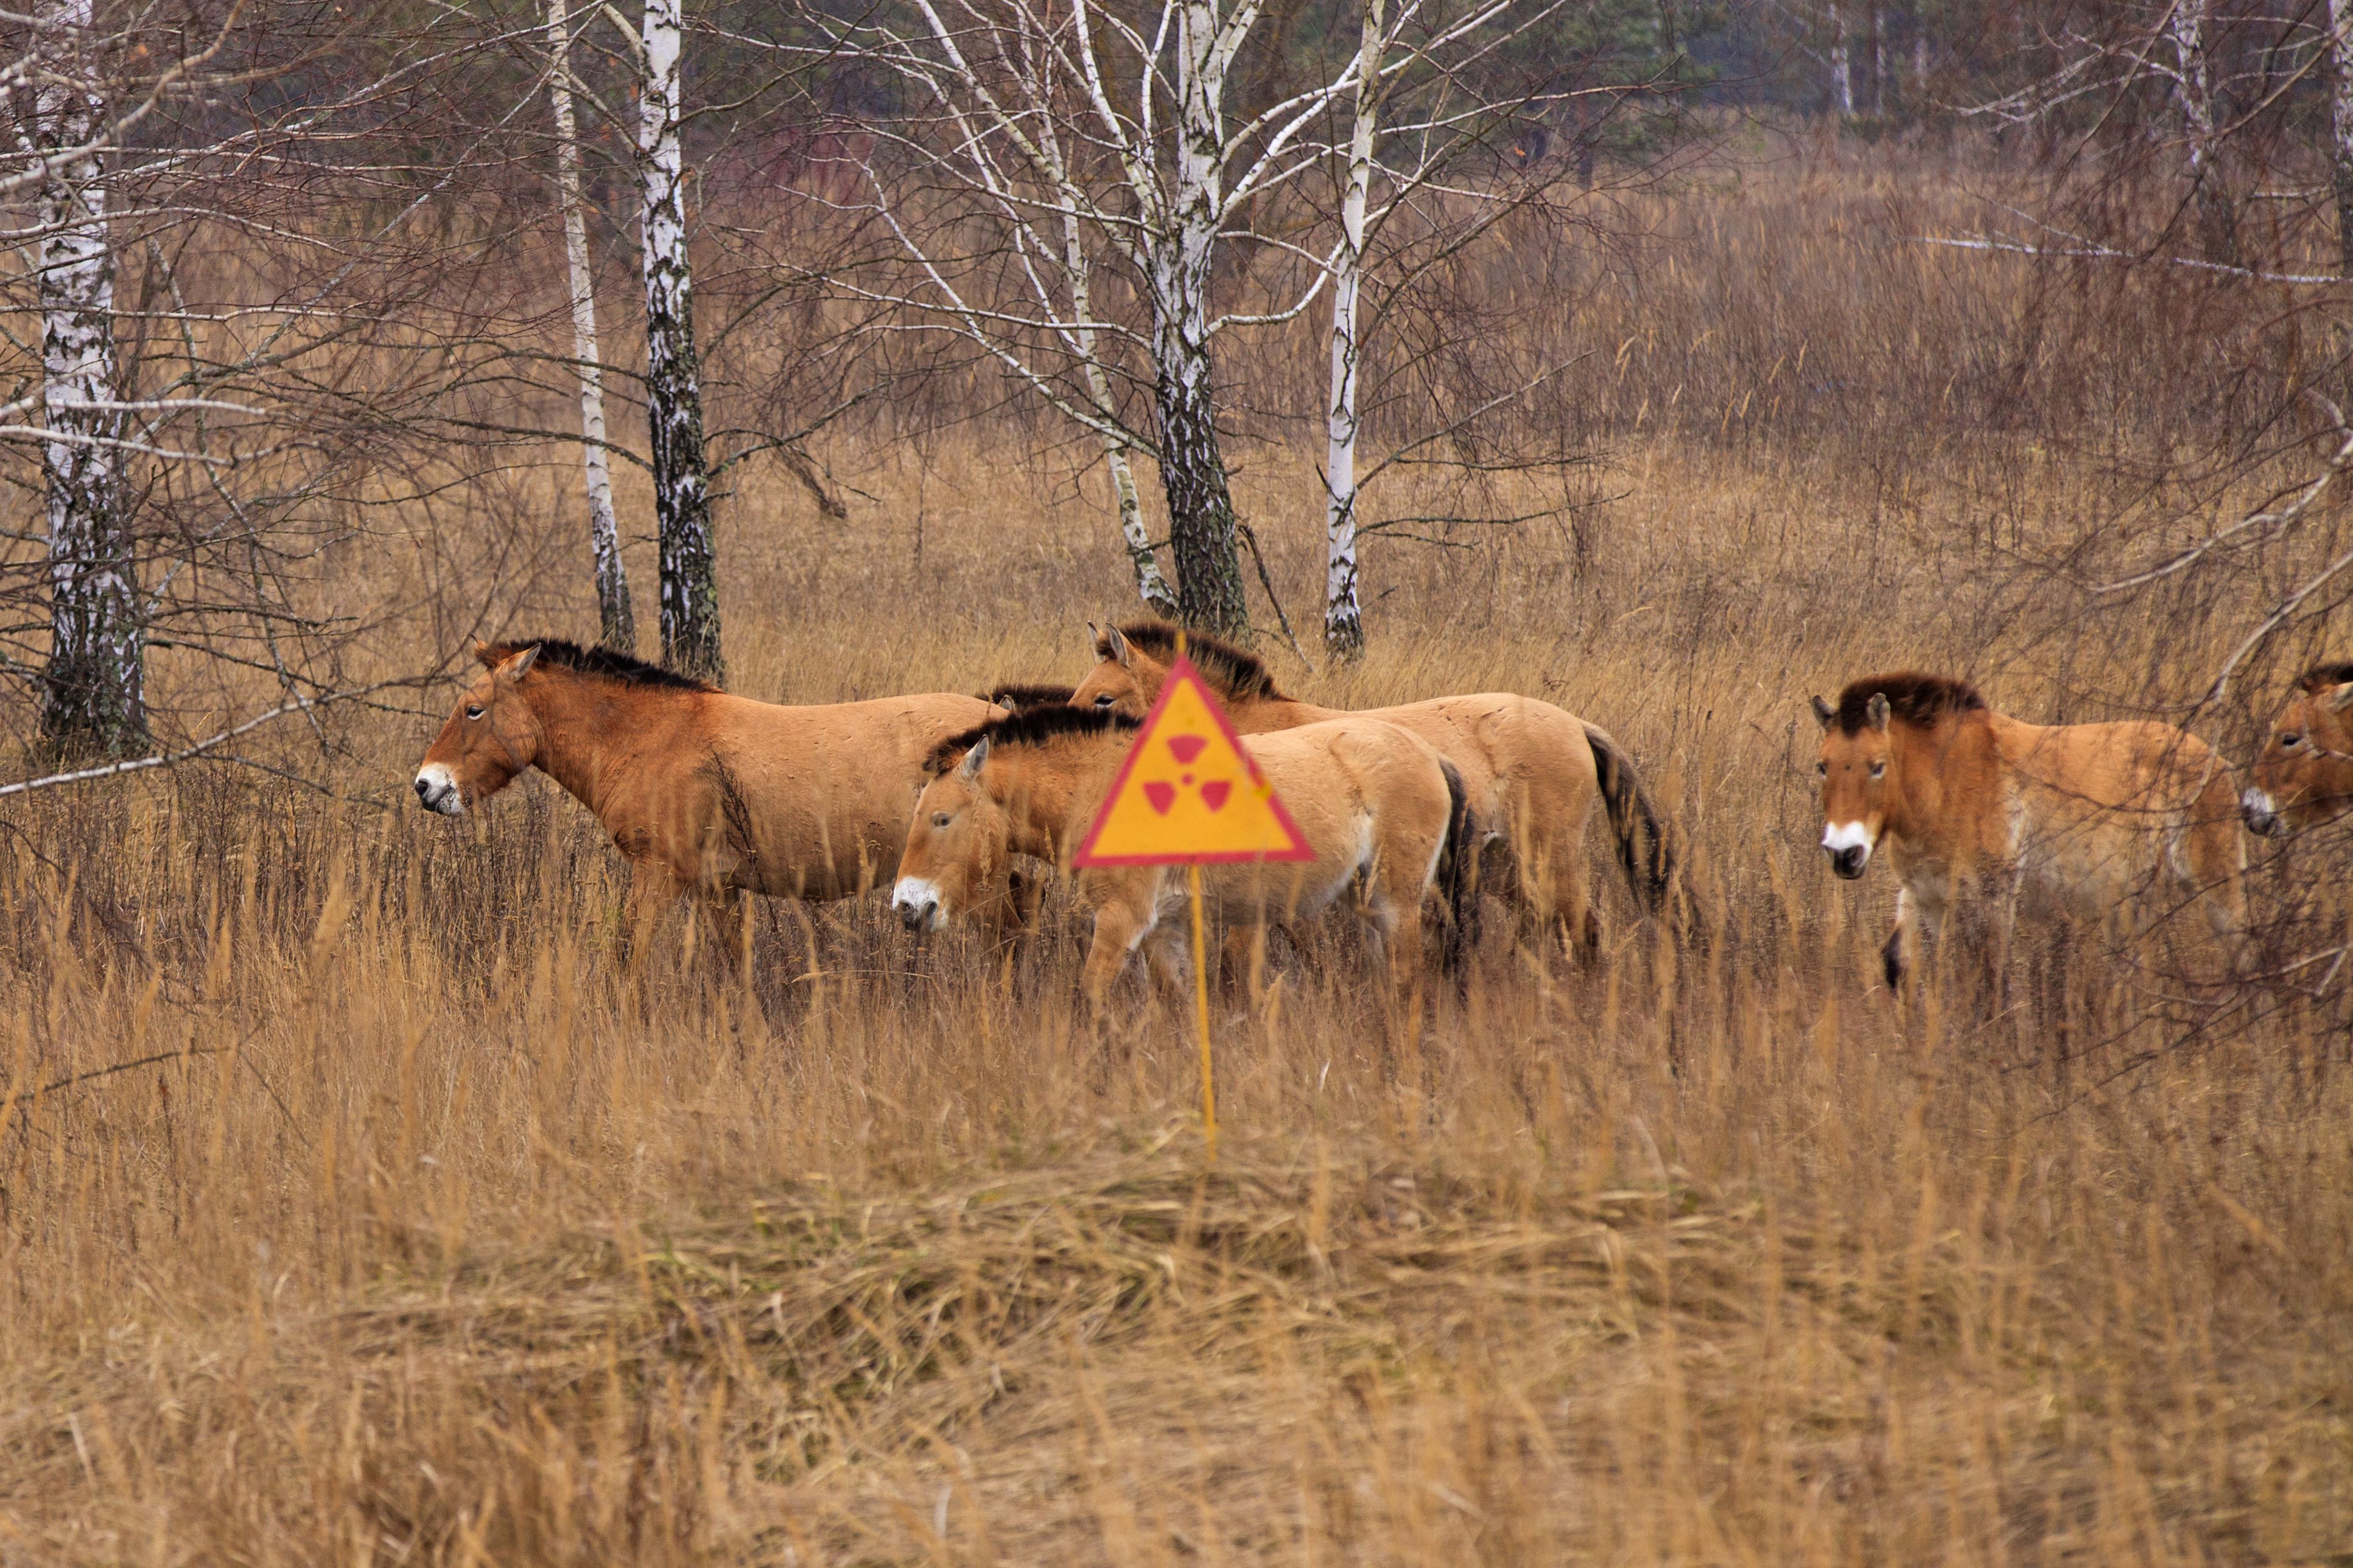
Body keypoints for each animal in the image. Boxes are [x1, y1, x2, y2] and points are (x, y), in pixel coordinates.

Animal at [418, 635, 1026, 951]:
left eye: (473, 710)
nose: (426, 785)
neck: (649, 737)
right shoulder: (718, 889)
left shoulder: (659, 875)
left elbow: (630, 957)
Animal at [885, 706, 1468, 1003]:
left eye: (942, 819)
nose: (908, 907)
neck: (1101, 787)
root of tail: (1430, 754)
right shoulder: (1162, 928)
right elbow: (1177, 1003)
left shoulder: (1121, 920)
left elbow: (1090, 996)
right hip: (1365, 900)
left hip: (1396, 901)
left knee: (1408, 975)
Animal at [1807, 668, 2249, 984]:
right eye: (1822, 766)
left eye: (1877, 767)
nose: (1844, 855)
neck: (1946, 785)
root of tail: (2217, 761)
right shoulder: (1924, 898)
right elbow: (1902, 966)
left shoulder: (1992, 902)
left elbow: (1991, 983)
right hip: (2132, 903)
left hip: (2219, 893)